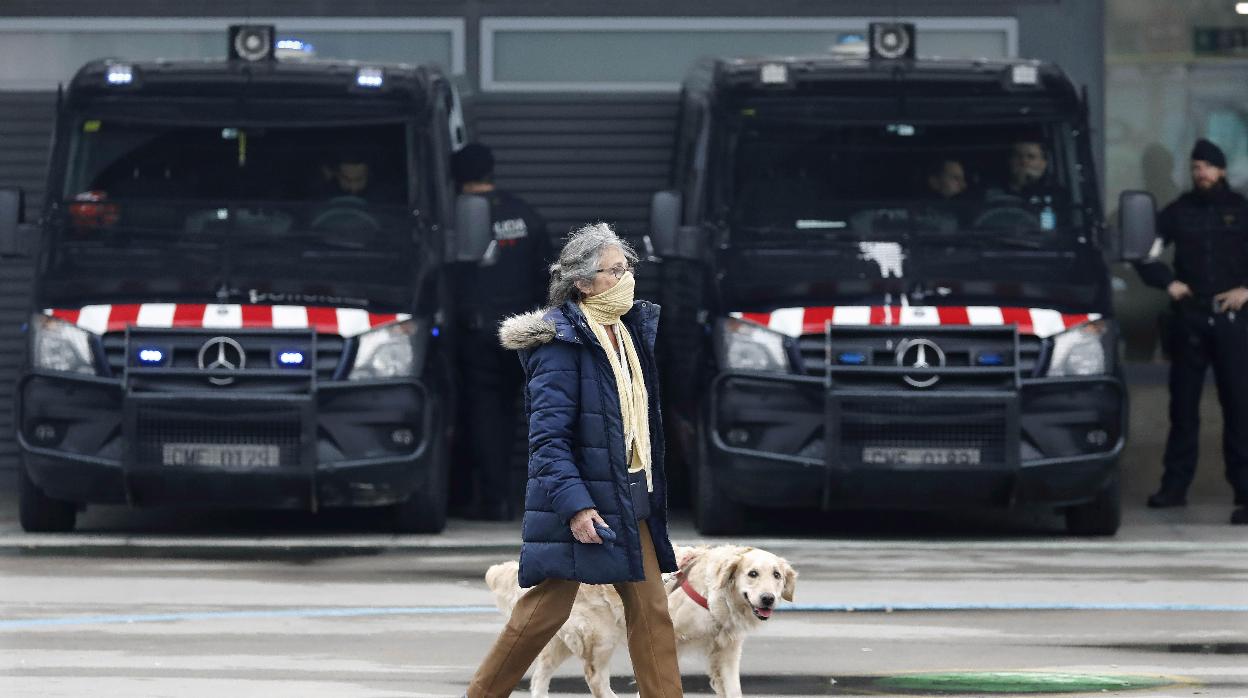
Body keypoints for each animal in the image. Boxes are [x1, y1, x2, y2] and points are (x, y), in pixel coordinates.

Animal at [481, 546, 793, 698]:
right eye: (752, 573)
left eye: (776, 575)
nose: (768, 599)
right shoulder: (668, 632)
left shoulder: (727, 651)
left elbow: (733, 689)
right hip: (600, 635)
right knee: (595, 678)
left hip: (565, 638)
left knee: (540, 672)